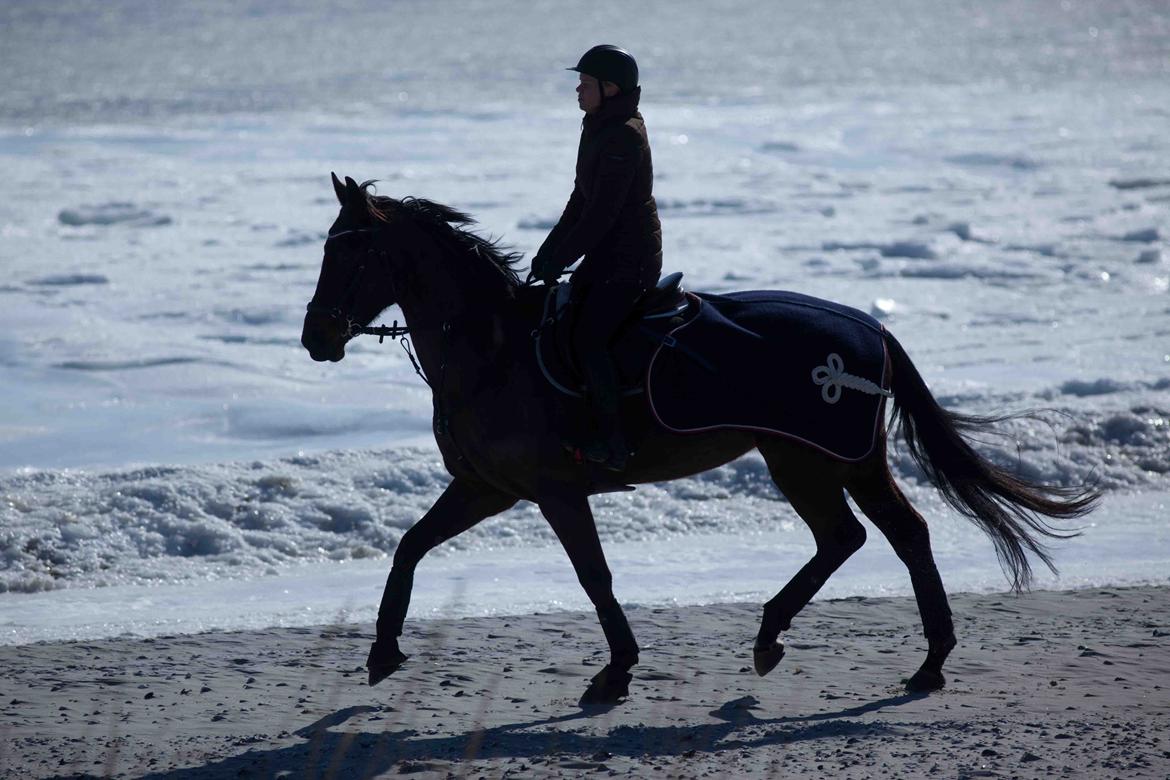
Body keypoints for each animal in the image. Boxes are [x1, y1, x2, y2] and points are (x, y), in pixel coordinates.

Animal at [299, 174, 1095, 706]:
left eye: (350, 256)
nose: (315, 338)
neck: (495, 351)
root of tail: (870, 327)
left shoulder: (553, 490)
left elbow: (593, 576)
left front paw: (616, 669)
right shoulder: (487, 488)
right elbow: (410, 546)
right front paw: (383, 650)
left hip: (810, 459)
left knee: (864, 536)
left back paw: (833, 644)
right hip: (829, 461)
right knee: (887, 535)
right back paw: (887, 653)